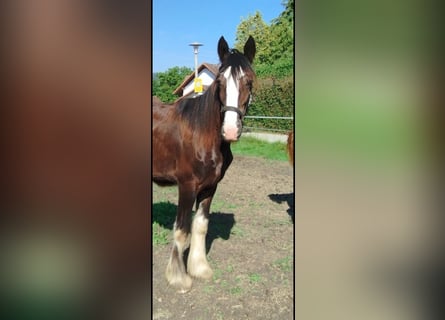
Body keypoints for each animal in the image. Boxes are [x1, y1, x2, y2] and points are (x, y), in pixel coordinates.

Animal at [153, 35, 256, 292]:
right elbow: (182, 231)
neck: (203, 133)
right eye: (220, 81)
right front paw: (178, 277)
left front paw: (199, 268)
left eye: (249, 81)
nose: (230, 130)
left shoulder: (210, 187)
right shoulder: (187, 185)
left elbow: (200, 226)